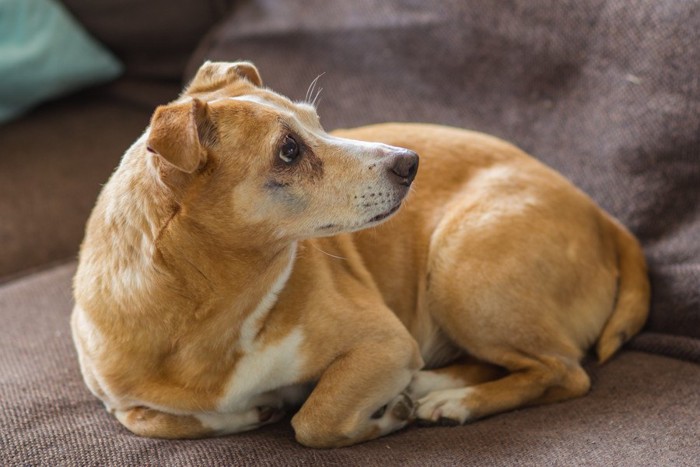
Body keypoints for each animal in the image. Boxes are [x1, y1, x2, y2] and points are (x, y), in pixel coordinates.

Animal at [72, 60, 652, 448]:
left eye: (316, 120)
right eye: (289, 150)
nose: (411, 162)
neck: (216, 309)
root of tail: (599, 212)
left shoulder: (383, 342)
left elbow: (314, 421)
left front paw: (384, 416)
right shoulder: (120, 400)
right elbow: (156, 420)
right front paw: (252, 411)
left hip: (462, 271)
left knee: (563, 371)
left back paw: (450, 402)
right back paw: (432, 384)